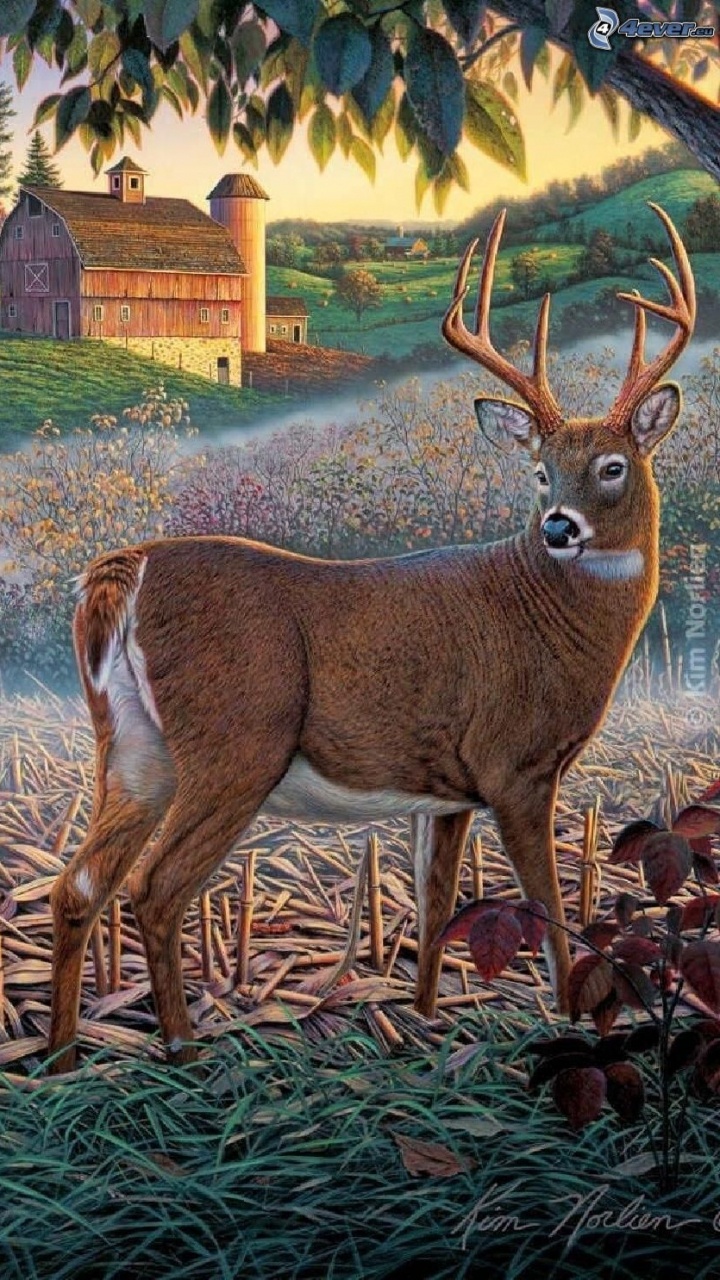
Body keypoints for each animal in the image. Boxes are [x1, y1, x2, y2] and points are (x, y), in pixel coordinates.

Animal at [47, 202, 695, 1074]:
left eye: (615, 466)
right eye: (540, 472)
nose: (560, 527)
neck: (548, 621)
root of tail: (125, 569)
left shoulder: (449, 787)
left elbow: (436, 903)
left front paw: (422, 1019)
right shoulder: (515, 764)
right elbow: (548, 902)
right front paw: (571, 1018)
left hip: (132, 750)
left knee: (78, 886)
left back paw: (60, 1059)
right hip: (235, 743)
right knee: (156, 888)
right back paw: (184, 1042)